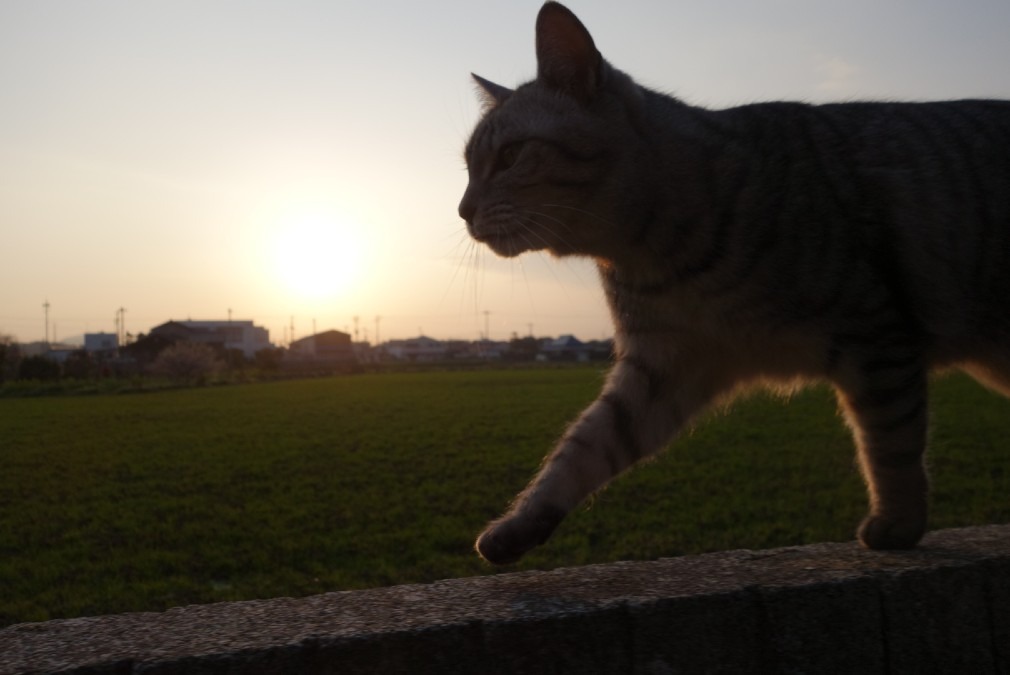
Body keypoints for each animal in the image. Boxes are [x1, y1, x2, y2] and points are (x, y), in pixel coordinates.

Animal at [460, 1, 1010, 565]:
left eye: (509, 157)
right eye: (468, 165)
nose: (462, 210)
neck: (653, 253)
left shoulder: (875, 335)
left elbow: (889, 443)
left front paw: (898, 523)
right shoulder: (662, 368)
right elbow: (583, 449)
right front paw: (519, 524)